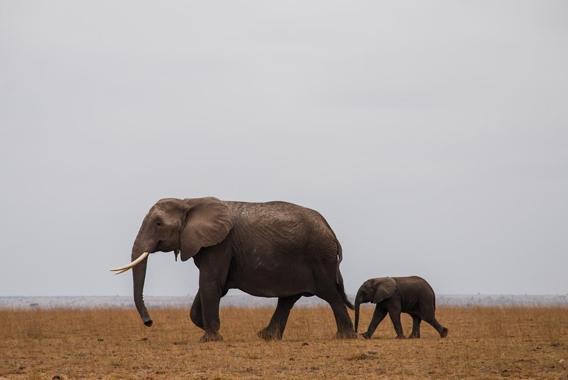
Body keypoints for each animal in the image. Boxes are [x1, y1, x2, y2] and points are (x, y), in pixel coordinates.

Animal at [112, 197, 356, 342]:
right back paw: (266, 337)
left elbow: (210, 283)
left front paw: (210, 338)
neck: (190, 201)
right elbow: (211, 287)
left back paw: (345, 337)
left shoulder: (220, 245)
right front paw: (210, 330)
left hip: (319, 256)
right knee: (288, 299)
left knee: (330, 294)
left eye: (158, 224)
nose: (149, 323)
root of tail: (329, 228)